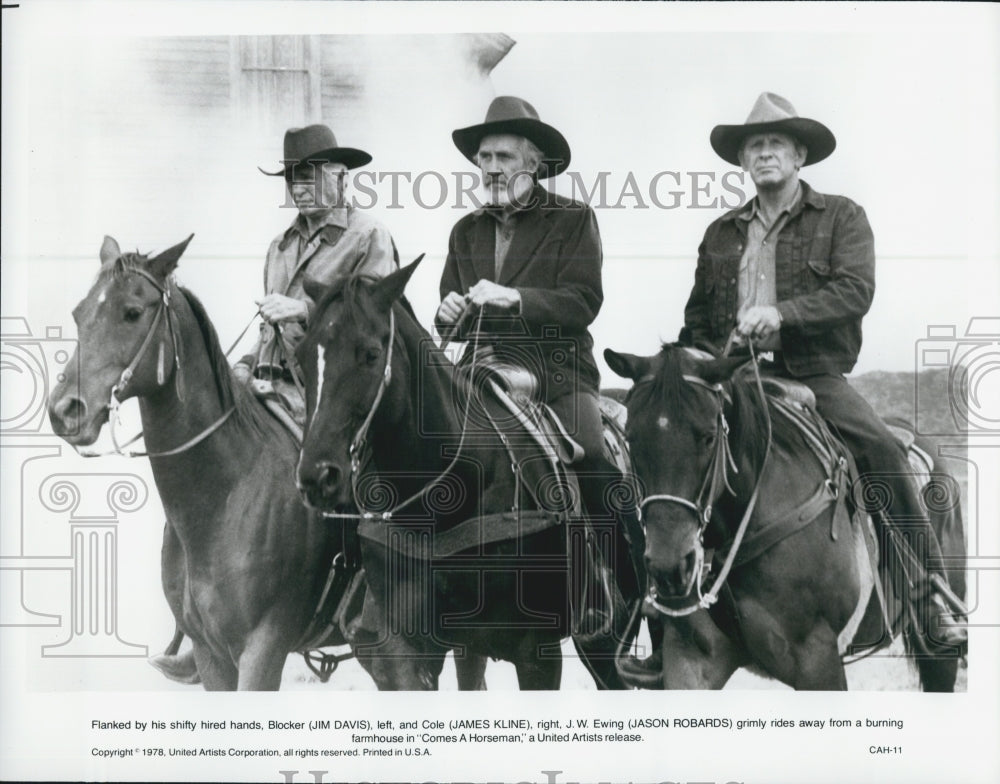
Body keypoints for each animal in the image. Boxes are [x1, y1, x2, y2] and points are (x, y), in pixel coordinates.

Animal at [47, 236, 354, 688]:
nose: (66, 411)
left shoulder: (263, 651)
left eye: (132, 312)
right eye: (78, 313)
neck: (225, 497)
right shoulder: (211, 654)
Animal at [292, 260, 632, 688]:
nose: (317, 475)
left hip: (607, 639)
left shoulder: (538, 653)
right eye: (301, 356)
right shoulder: (409, 651)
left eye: (370, 354)